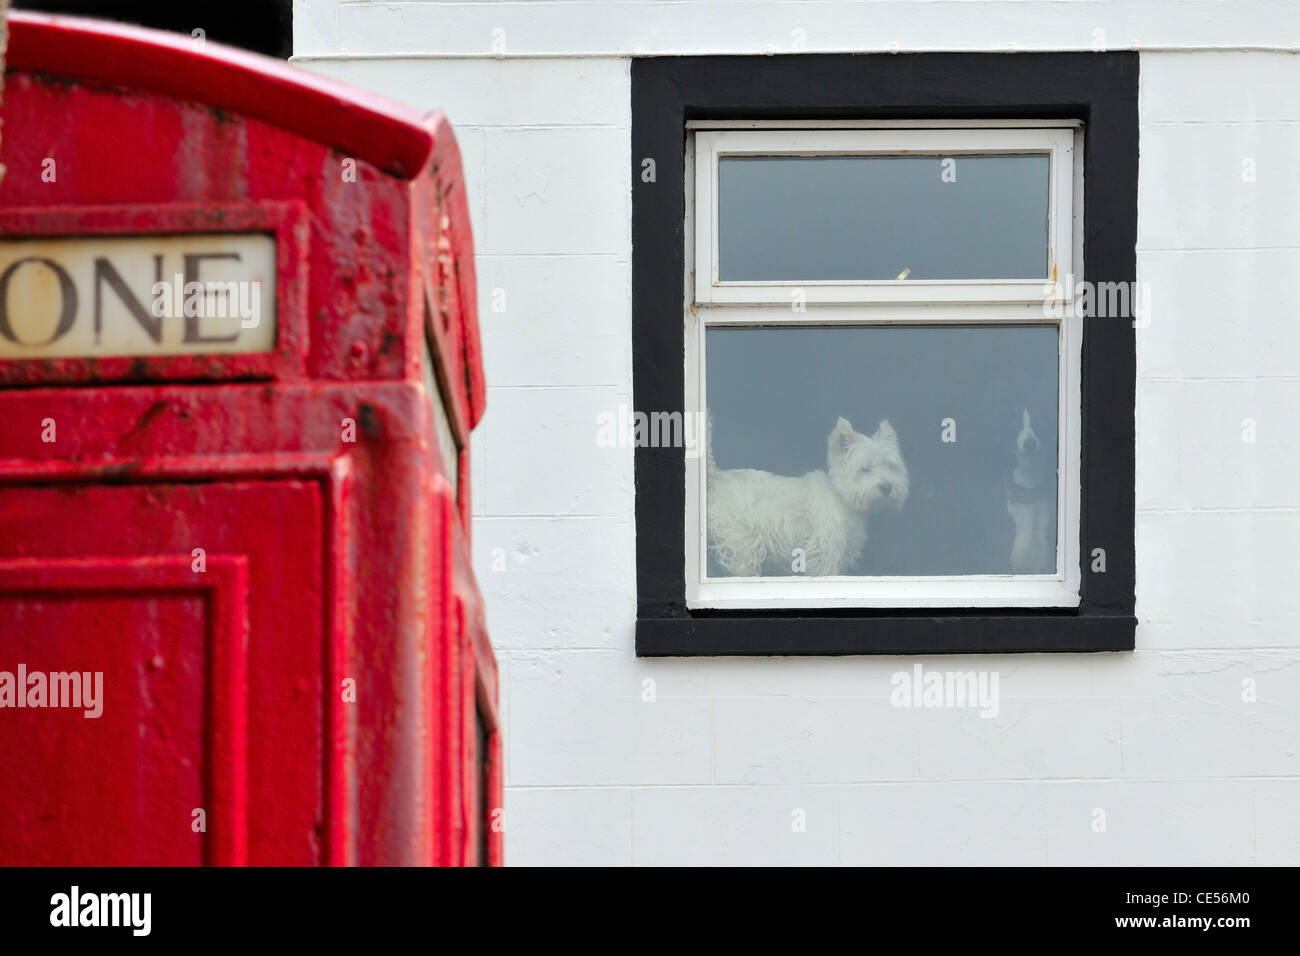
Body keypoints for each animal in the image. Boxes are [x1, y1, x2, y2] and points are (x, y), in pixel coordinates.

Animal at [707, 416, 909, 574]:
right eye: (865, 468)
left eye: (891, 466)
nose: (887, 487)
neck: (842, 499)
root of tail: (719, 477)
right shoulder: (824, 550)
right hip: (742, 544)